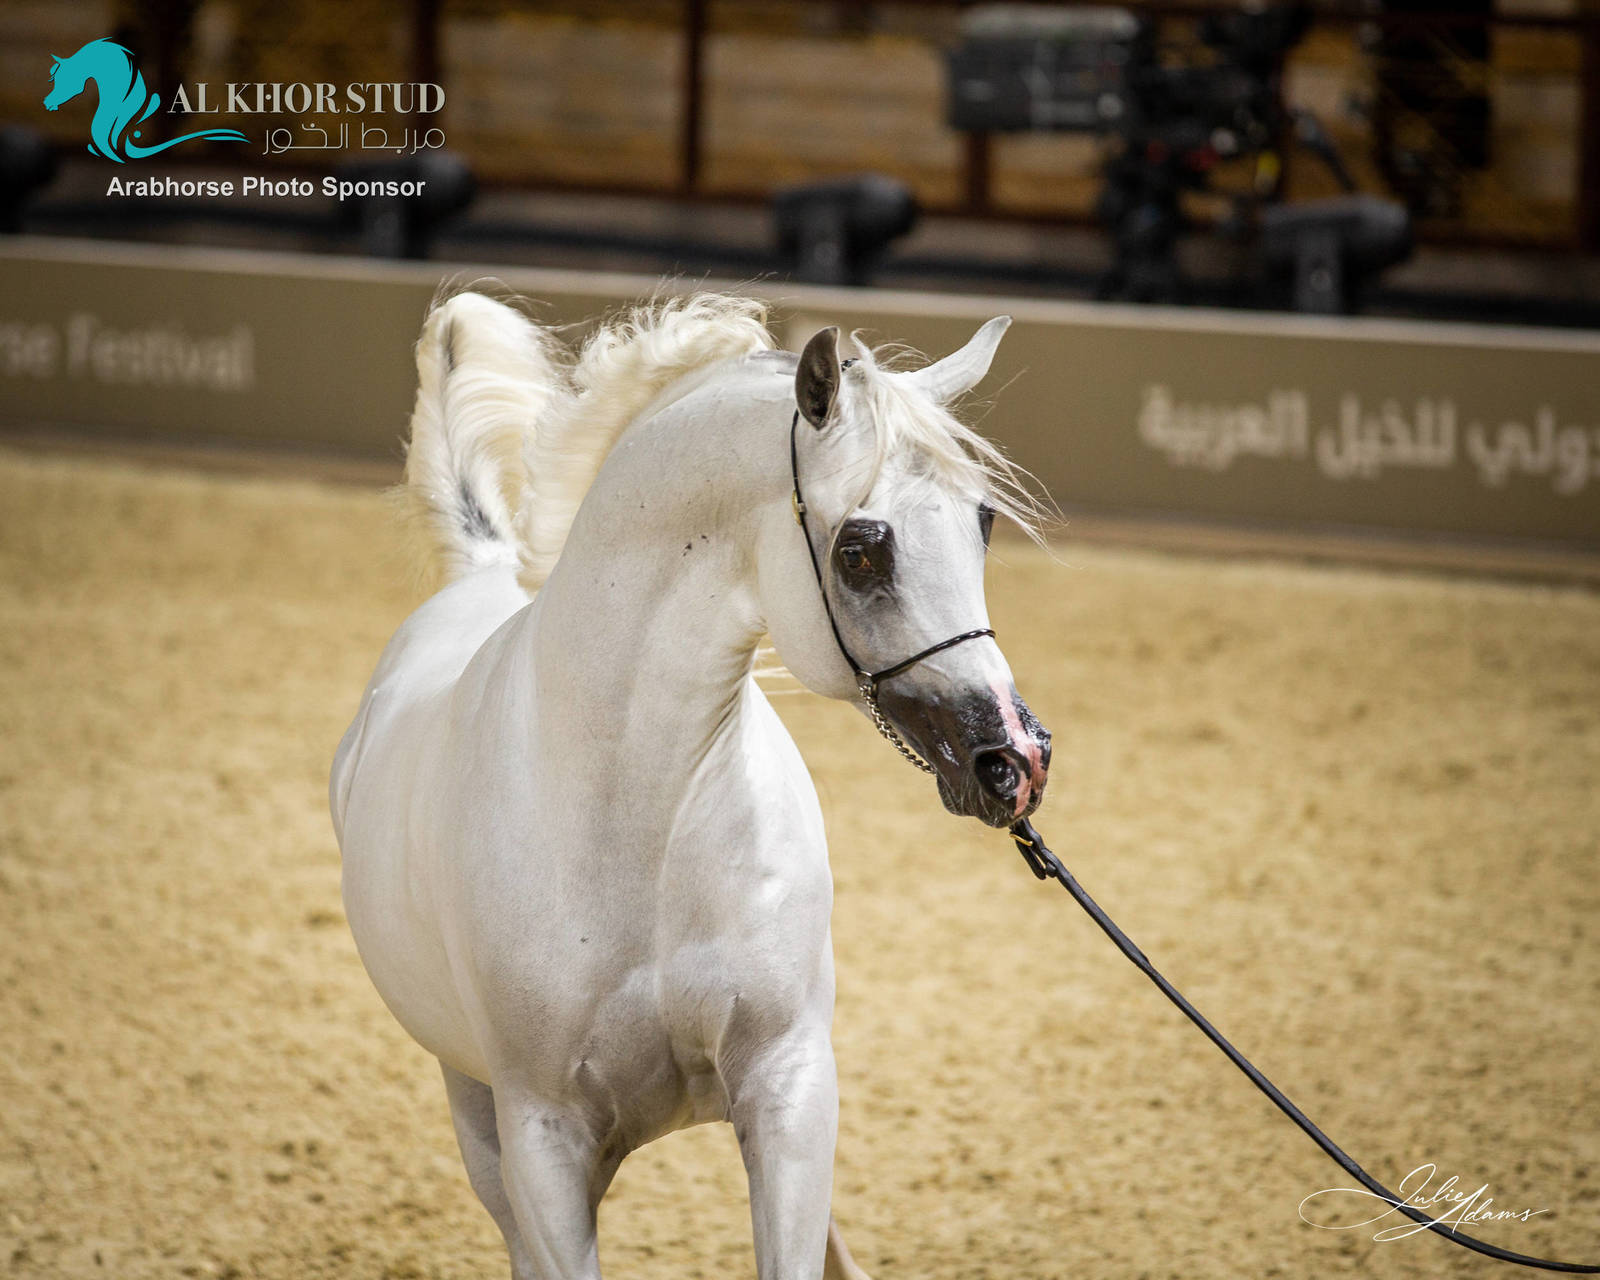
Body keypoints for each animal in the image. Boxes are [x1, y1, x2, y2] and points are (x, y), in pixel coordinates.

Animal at [330, 290, 1053, 1280]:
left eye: (981, 521)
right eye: (861, 551)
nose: (1013, 761)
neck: (641, 824)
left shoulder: (790, 1087)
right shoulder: (542, 1144)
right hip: (477, 1116)